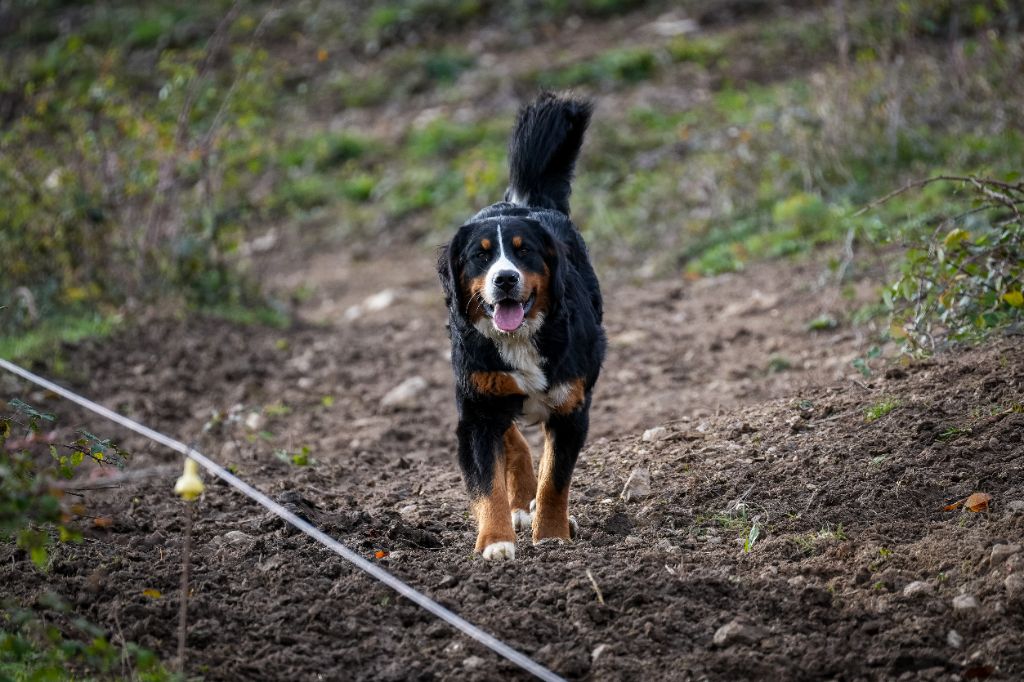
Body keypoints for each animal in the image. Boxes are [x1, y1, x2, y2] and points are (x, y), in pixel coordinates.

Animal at [436, 93, 602, 561]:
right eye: (481, 255)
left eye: (523, 251)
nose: (505, 278)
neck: (521, 339)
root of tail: (524, 201)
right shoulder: (477, 410)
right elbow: (487, 482)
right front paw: (496, 541)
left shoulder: (571, 409)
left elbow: (555, 481)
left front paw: (552, 534)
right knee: (512, 438)